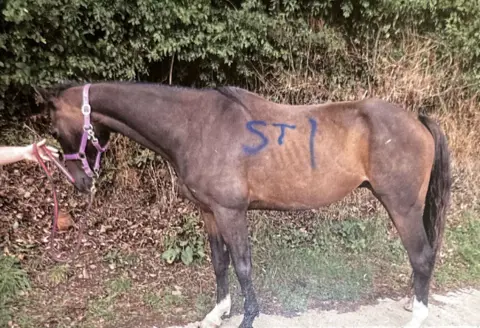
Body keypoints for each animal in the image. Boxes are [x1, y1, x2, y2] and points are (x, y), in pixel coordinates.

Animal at [38, 81, 450, 328]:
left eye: (56, 128)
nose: (80, 182)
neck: (194, 126)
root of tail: (417, 120)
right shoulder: (209, 212)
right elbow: (219, 263)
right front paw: (217, 313)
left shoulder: (230, 211)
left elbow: (242, 265)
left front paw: (247, 317)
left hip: (402, 208)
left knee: (421, 256)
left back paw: (417, 316)